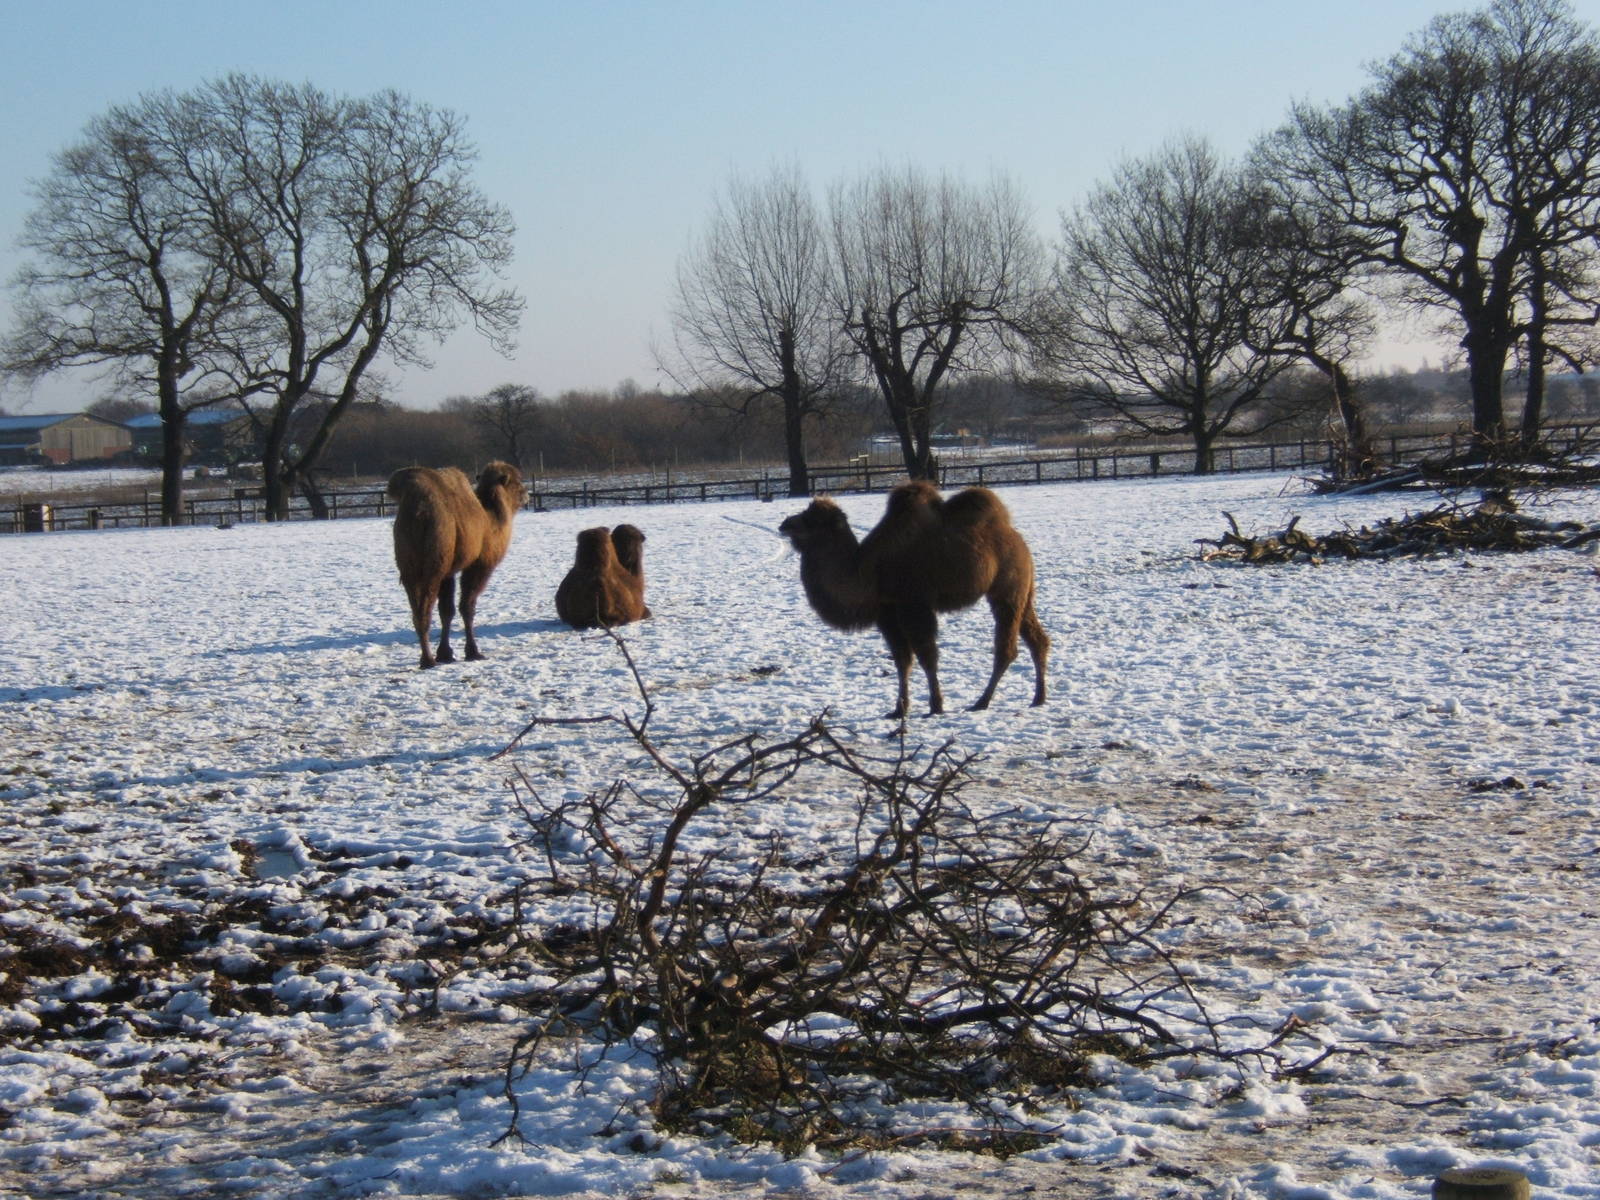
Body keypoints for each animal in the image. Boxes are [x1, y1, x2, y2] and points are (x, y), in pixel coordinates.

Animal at [387, 461, 524, 669]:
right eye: (517, 482)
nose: (526, 494)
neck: (490, 520)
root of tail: (418, 513)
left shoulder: (448, 573)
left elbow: (447, 611)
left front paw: (445, 654)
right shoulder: (478, 565)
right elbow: (467, 607)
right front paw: (473, 652)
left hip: (409, 569)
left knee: (417, 610)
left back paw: (426, 657)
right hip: (433, 566)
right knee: (425, 609)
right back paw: (427, 660)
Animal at [779, 481, 1049, 718]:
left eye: (812, 520)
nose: (785, 523)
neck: (867, 572)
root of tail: (1017, 539)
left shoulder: (914, 605)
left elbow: (927, 656)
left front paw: (936, 706)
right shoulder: (887, 612)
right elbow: (902, 660)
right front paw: (899, 710)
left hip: (1006, 591)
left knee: (1006, 648)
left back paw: (981, 702)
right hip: (1024, 592)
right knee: (1037, 638)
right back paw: (1039, 698)